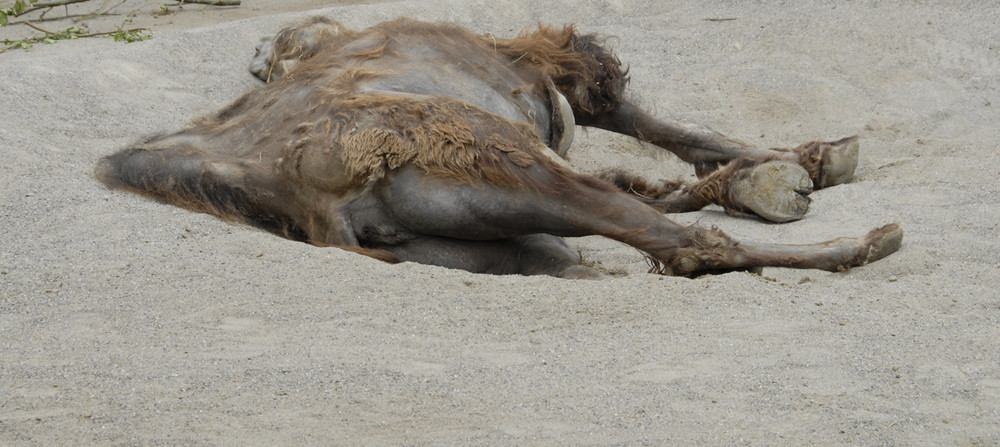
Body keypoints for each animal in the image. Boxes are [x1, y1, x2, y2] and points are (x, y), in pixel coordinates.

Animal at [97, 18, 904, 280]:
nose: (260, 52)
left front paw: (780, 173)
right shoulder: (533, 71)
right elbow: (621, 110)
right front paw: (803, 165)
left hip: (491, 239)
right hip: (493, 159)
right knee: (682, 243)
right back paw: (866, 242)